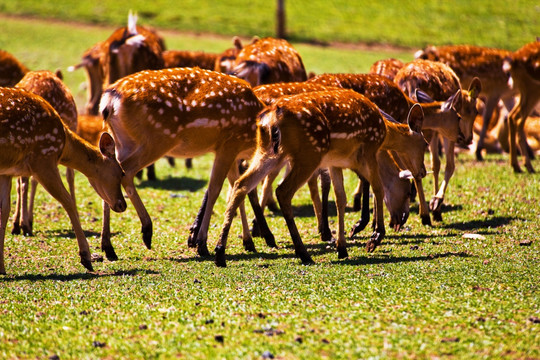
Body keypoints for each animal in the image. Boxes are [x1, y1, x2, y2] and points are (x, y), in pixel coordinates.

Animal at [0, 88, 126, 274]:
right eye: (121, 173)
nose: (122, 204)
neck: (62, 147)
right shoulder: (43, 160)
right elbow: (68, 201)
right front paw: (86, 258)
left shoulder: (7, 171)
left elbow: (4, 210)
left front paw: (1, 267)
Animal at [97, 66, 276, 260]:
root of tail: (109, 100)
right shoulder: (228, 144)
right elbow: (216, 190)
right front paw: (202, 244)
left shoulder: (233, 153)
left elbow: (236, 190)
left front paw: (248, 242)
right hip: (158, 138)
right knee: (126, 172)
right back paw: (147, 230)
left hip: (125, 141)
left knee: (110, 170)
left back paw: (108, 247)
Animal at [213, 88, 428, 266]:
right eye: (425, 143)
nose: (424, 171)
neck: (384, 133)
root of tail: (270, 117)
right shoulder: (369, 150)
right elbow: (378, 189)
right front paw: (374, 238)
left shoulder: (335, 162)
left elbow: (340, 198)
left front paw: (342, 248)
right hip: (309, 152)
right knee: (282, 191)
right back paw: (303, 254)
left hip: (267, 150)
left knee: (241, 184)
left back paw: (220, 253)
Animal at [392, 59, 480, 221]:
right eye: (476, 111)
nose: (468, 138)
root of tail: (410, 78)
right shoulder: (445, 131)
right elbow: (445, 164)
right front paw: (436, 204)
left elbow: (435, 164)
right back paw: (425, 212)